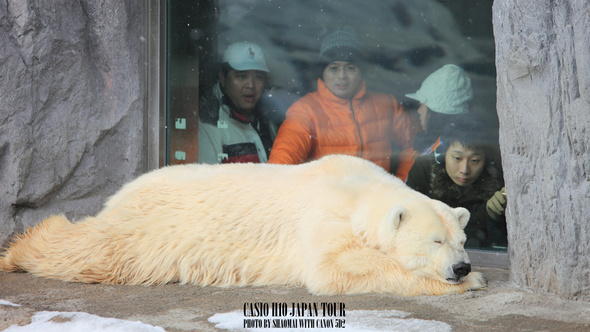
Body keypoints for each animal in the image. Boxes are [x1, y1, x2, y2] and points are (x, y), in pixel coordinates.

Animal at [0, 156, 488, 296]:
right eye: (436, 240)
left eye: (462, 239)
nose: (461, 266)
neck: (357, 188)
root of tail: (122, 193)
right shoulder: (323, 218)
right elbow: (335, 269)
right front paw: (471, 282)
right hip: (147, 230)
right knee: (95, 253)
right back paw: (19, 250)